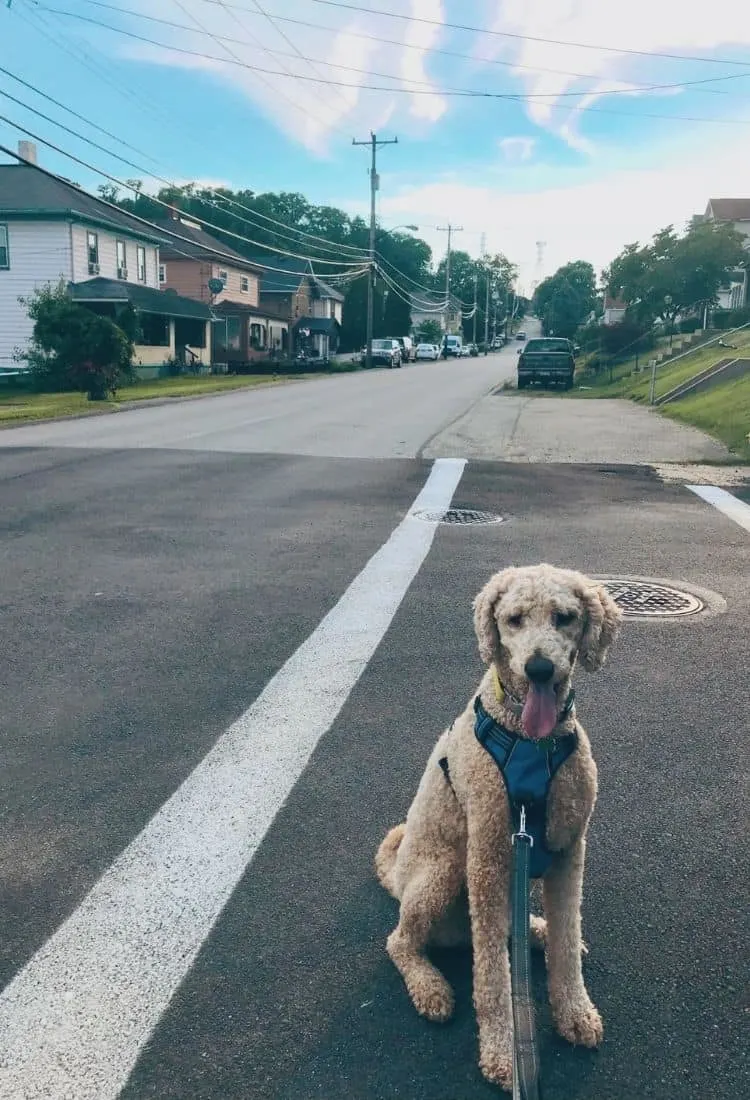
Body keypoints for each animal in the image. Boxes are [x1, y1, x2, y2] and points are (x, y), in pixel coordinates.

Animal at [371, 567, 620, 1091]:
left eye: (565, 617)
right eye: (514, 619)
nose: (539, 668)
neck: (531, 743)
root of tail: (397, 878)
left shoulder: (570, 849)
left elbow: (567, 942)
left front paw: (575, 1012)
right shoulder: (488, 859)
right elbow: (492, 980)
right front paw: (503, 1054)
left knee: (519, 930)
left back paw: (537, 931)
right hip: (444, 871)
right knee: (401, 941)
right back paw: (430, 987)